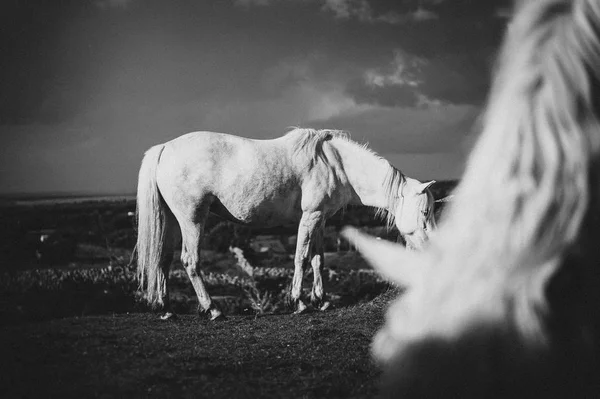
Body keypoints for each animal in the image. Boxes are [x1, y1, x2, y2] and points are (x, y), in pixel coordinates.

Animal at [135, 129, 436, 322]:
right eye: (425, 211)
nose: (431, 251)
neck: (335, 164)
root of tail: (164, 148)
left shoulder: (320, 219)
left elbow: (318, 259)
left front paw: (321, 300)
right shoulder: (310, 217)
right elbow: (301, 257)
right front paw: (299, 303)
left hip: (172, 221)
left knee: (162, 258)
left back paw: (165, 308)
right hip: (192, 219)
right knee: (190, 261)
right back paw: (212, 309)